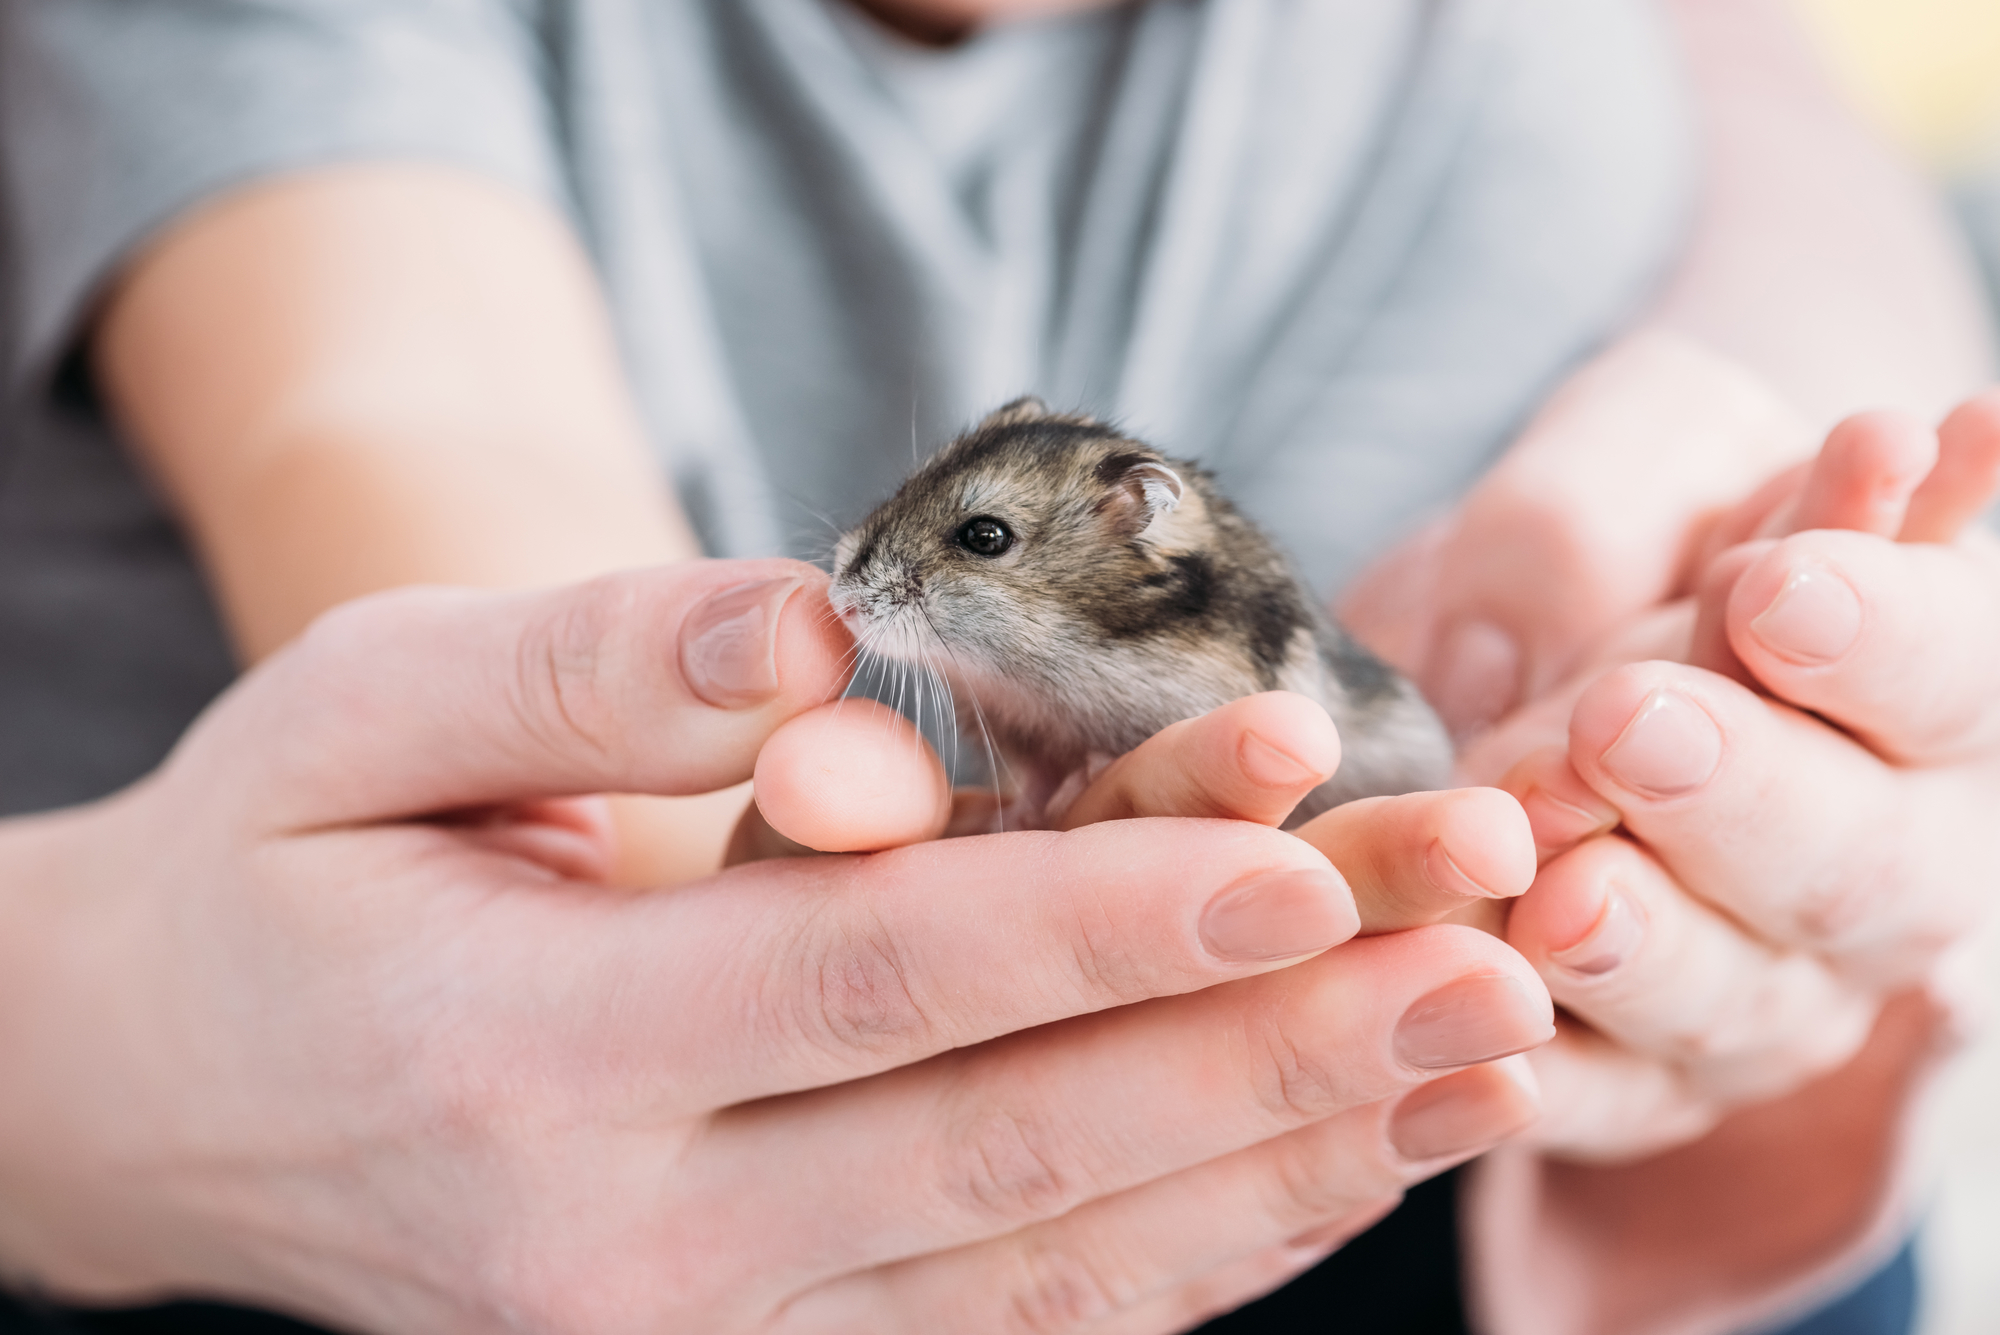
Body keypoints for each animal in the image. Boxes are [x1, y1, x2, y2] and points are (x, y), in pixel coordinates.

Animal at [828, 395, 1456, 823]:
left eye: (985, 537)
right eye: (908, 484)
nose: (841, 600)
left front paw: (1089, 775)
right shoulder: (1023, 737)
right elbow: (1038, 779)